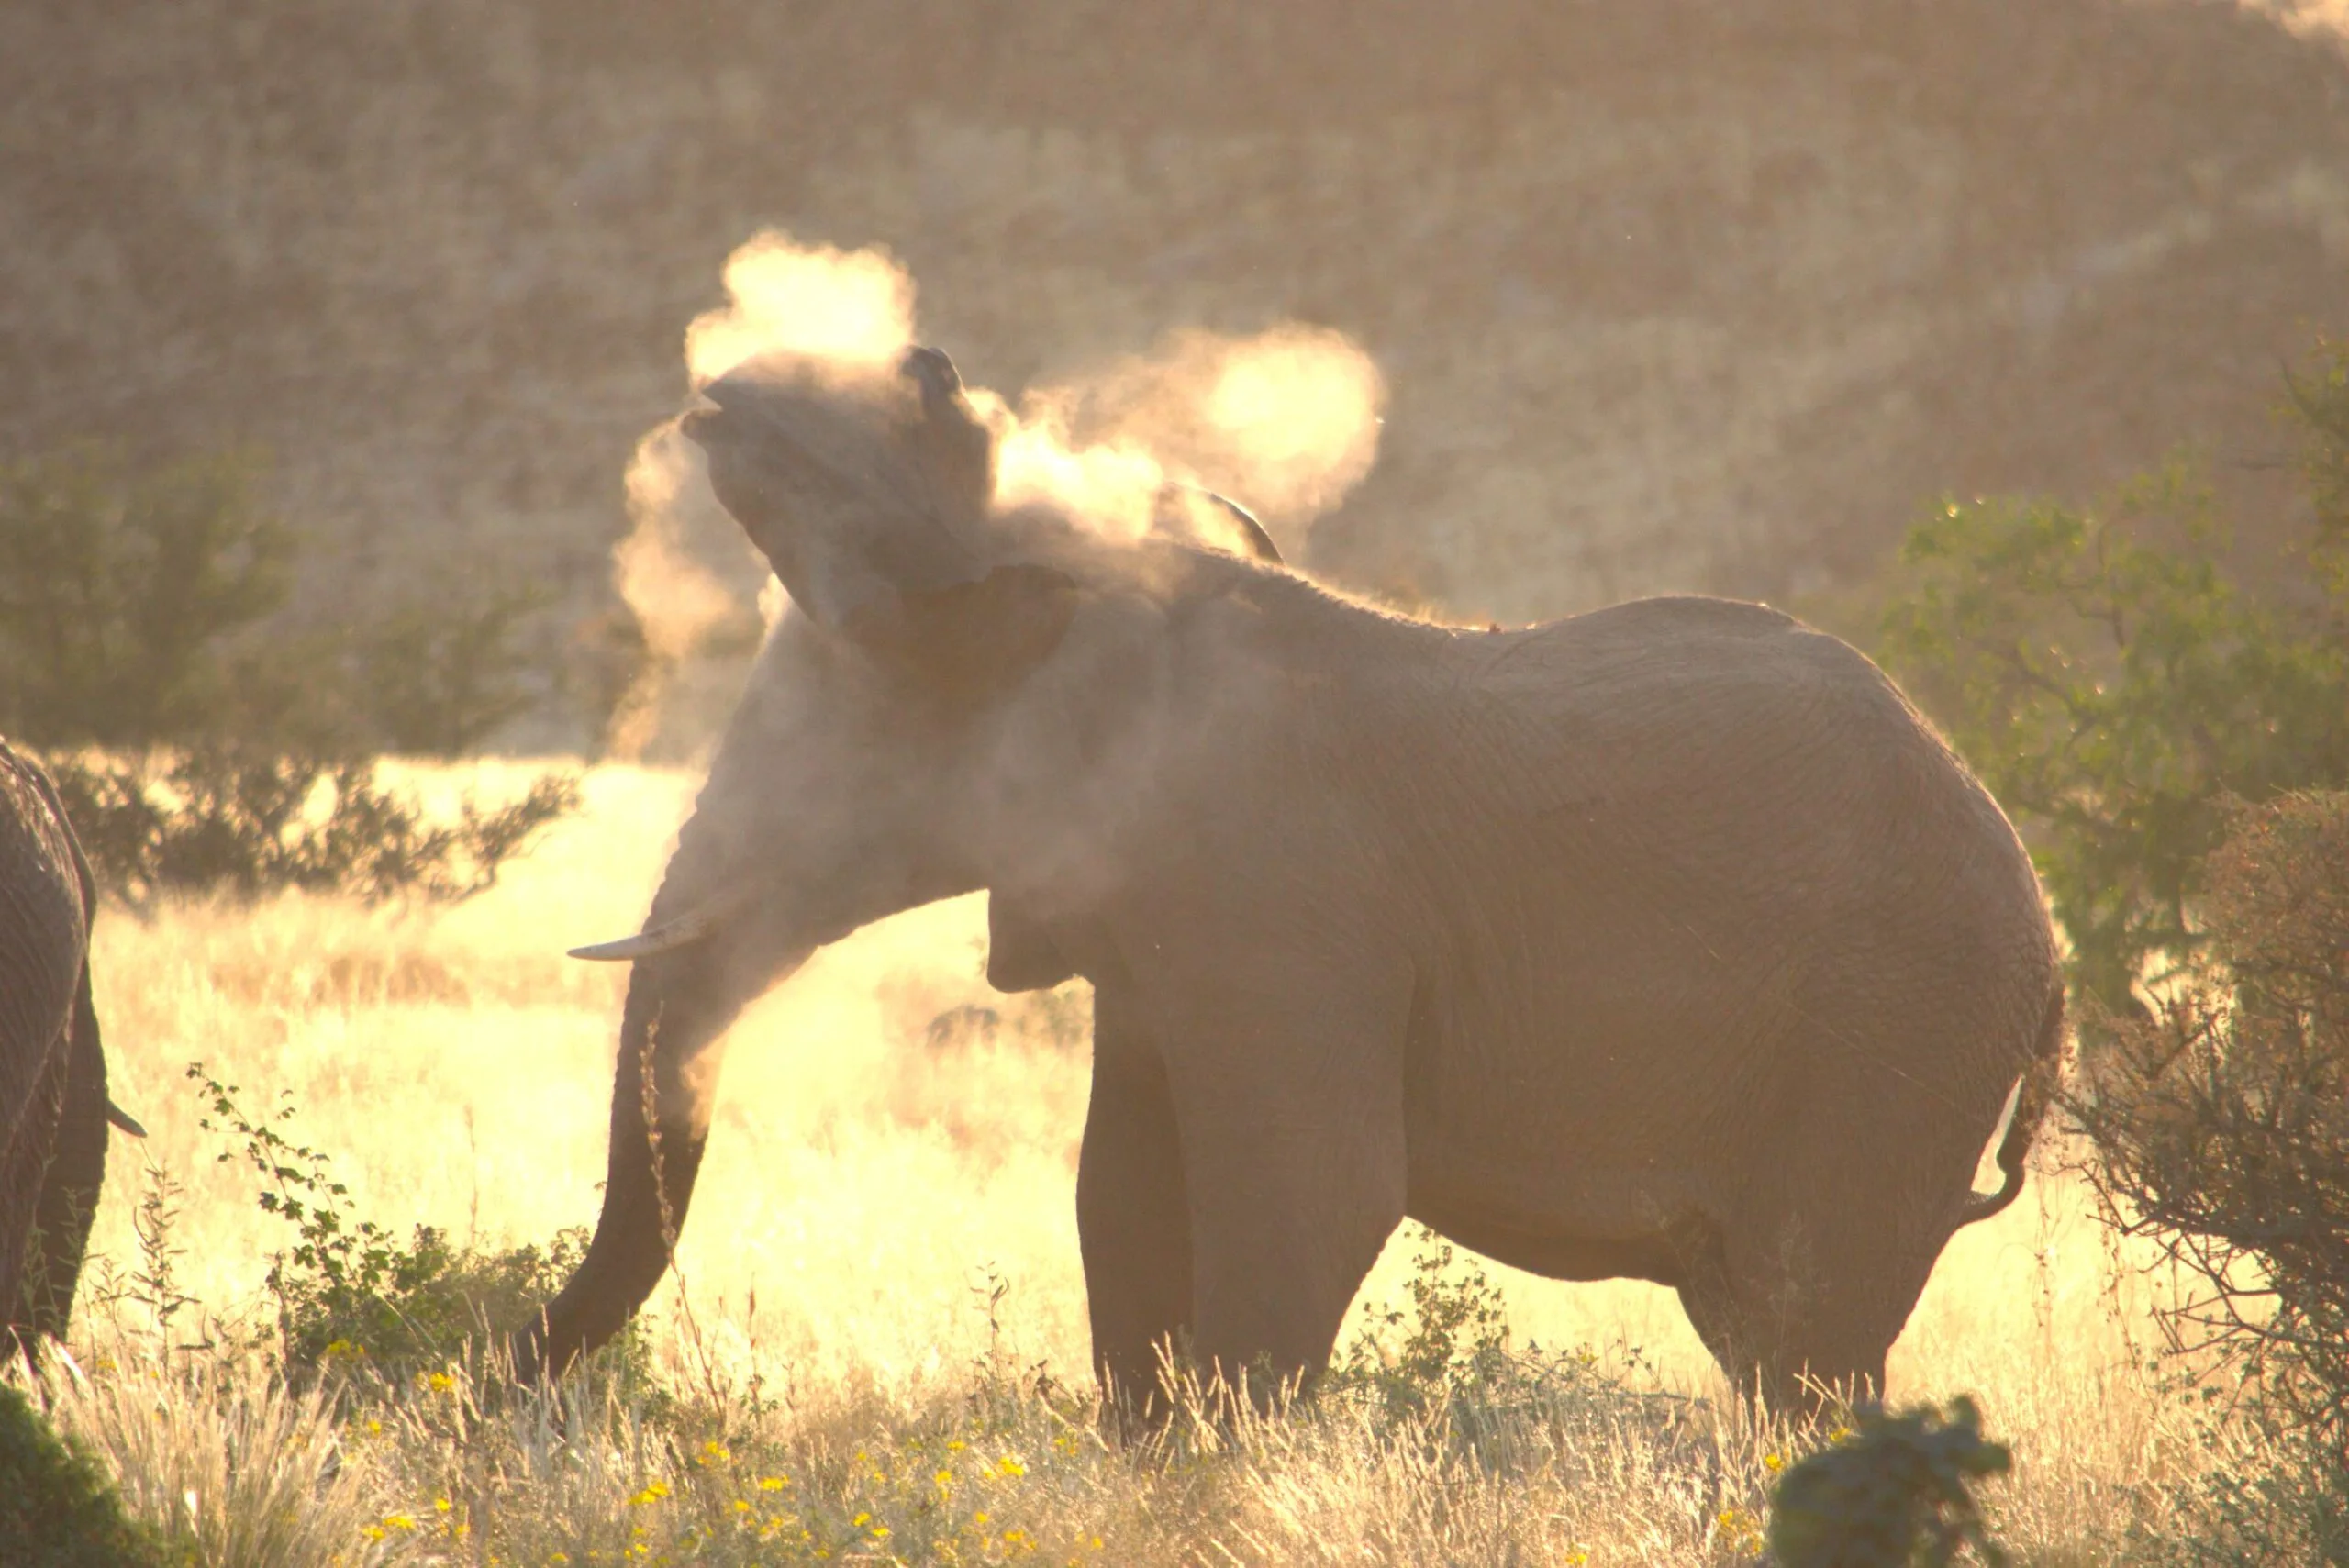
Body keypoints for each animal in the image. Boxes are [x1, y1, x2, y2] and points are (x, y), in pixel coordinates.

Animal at [520, 345, 2065, 1413]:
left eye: (850, 733)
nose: (512, 1366)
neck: (1125, 594)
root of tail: (2044, 929)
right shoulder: (1151, 932)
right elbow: (1122, 1206)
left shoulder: (1280, 910)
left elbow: (1311, 1198)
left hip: (1897, 1033)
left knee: (1807, 1340)